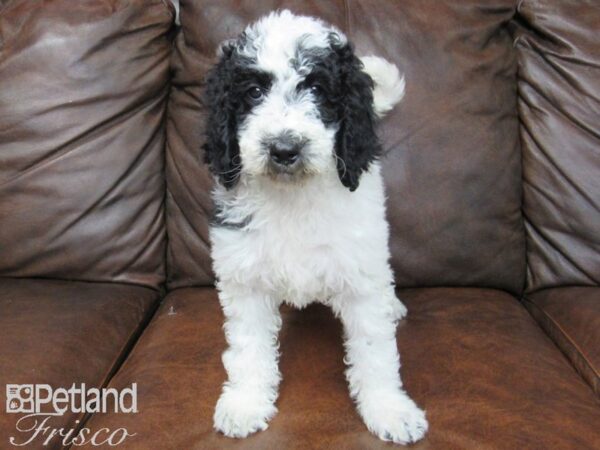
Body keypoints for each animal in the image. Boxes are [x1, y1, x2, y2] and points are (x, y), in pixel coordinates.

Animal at [204, 8, 428, 444]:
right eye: (253, 93)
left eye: (319, 91)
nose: (284, 149)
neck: (293, 198)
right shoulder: (245, 277)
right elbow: (248, 346)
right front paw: (246, 403)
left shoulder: (360, 274)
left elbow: (375, 351)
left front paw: (389, 409)